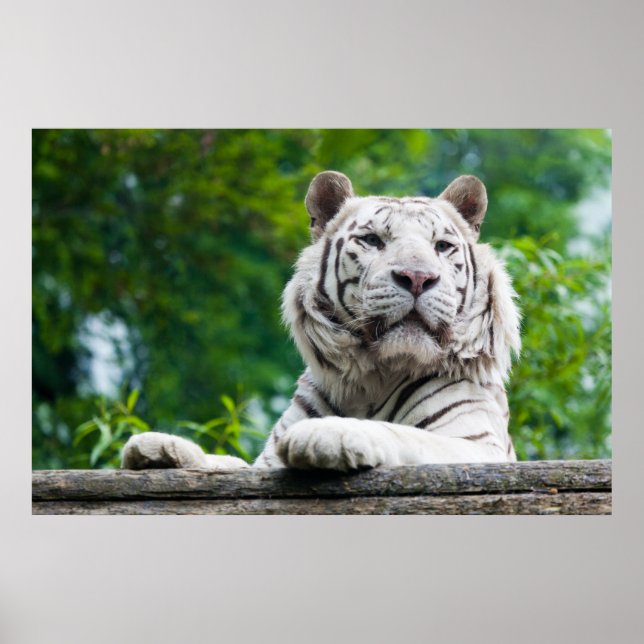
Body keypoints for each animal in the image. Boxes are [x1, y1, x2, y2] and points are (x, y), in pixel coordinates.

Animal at [122, 171, 521, 471]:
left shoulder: (476, 446)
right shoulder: (264, 464)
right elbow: (229, 462)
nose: (417, 277)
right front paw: (159, 448)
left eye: (442, 246)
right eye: (372, 240)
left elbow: (403, 434)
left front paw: (327, 434)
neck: (372, 378)